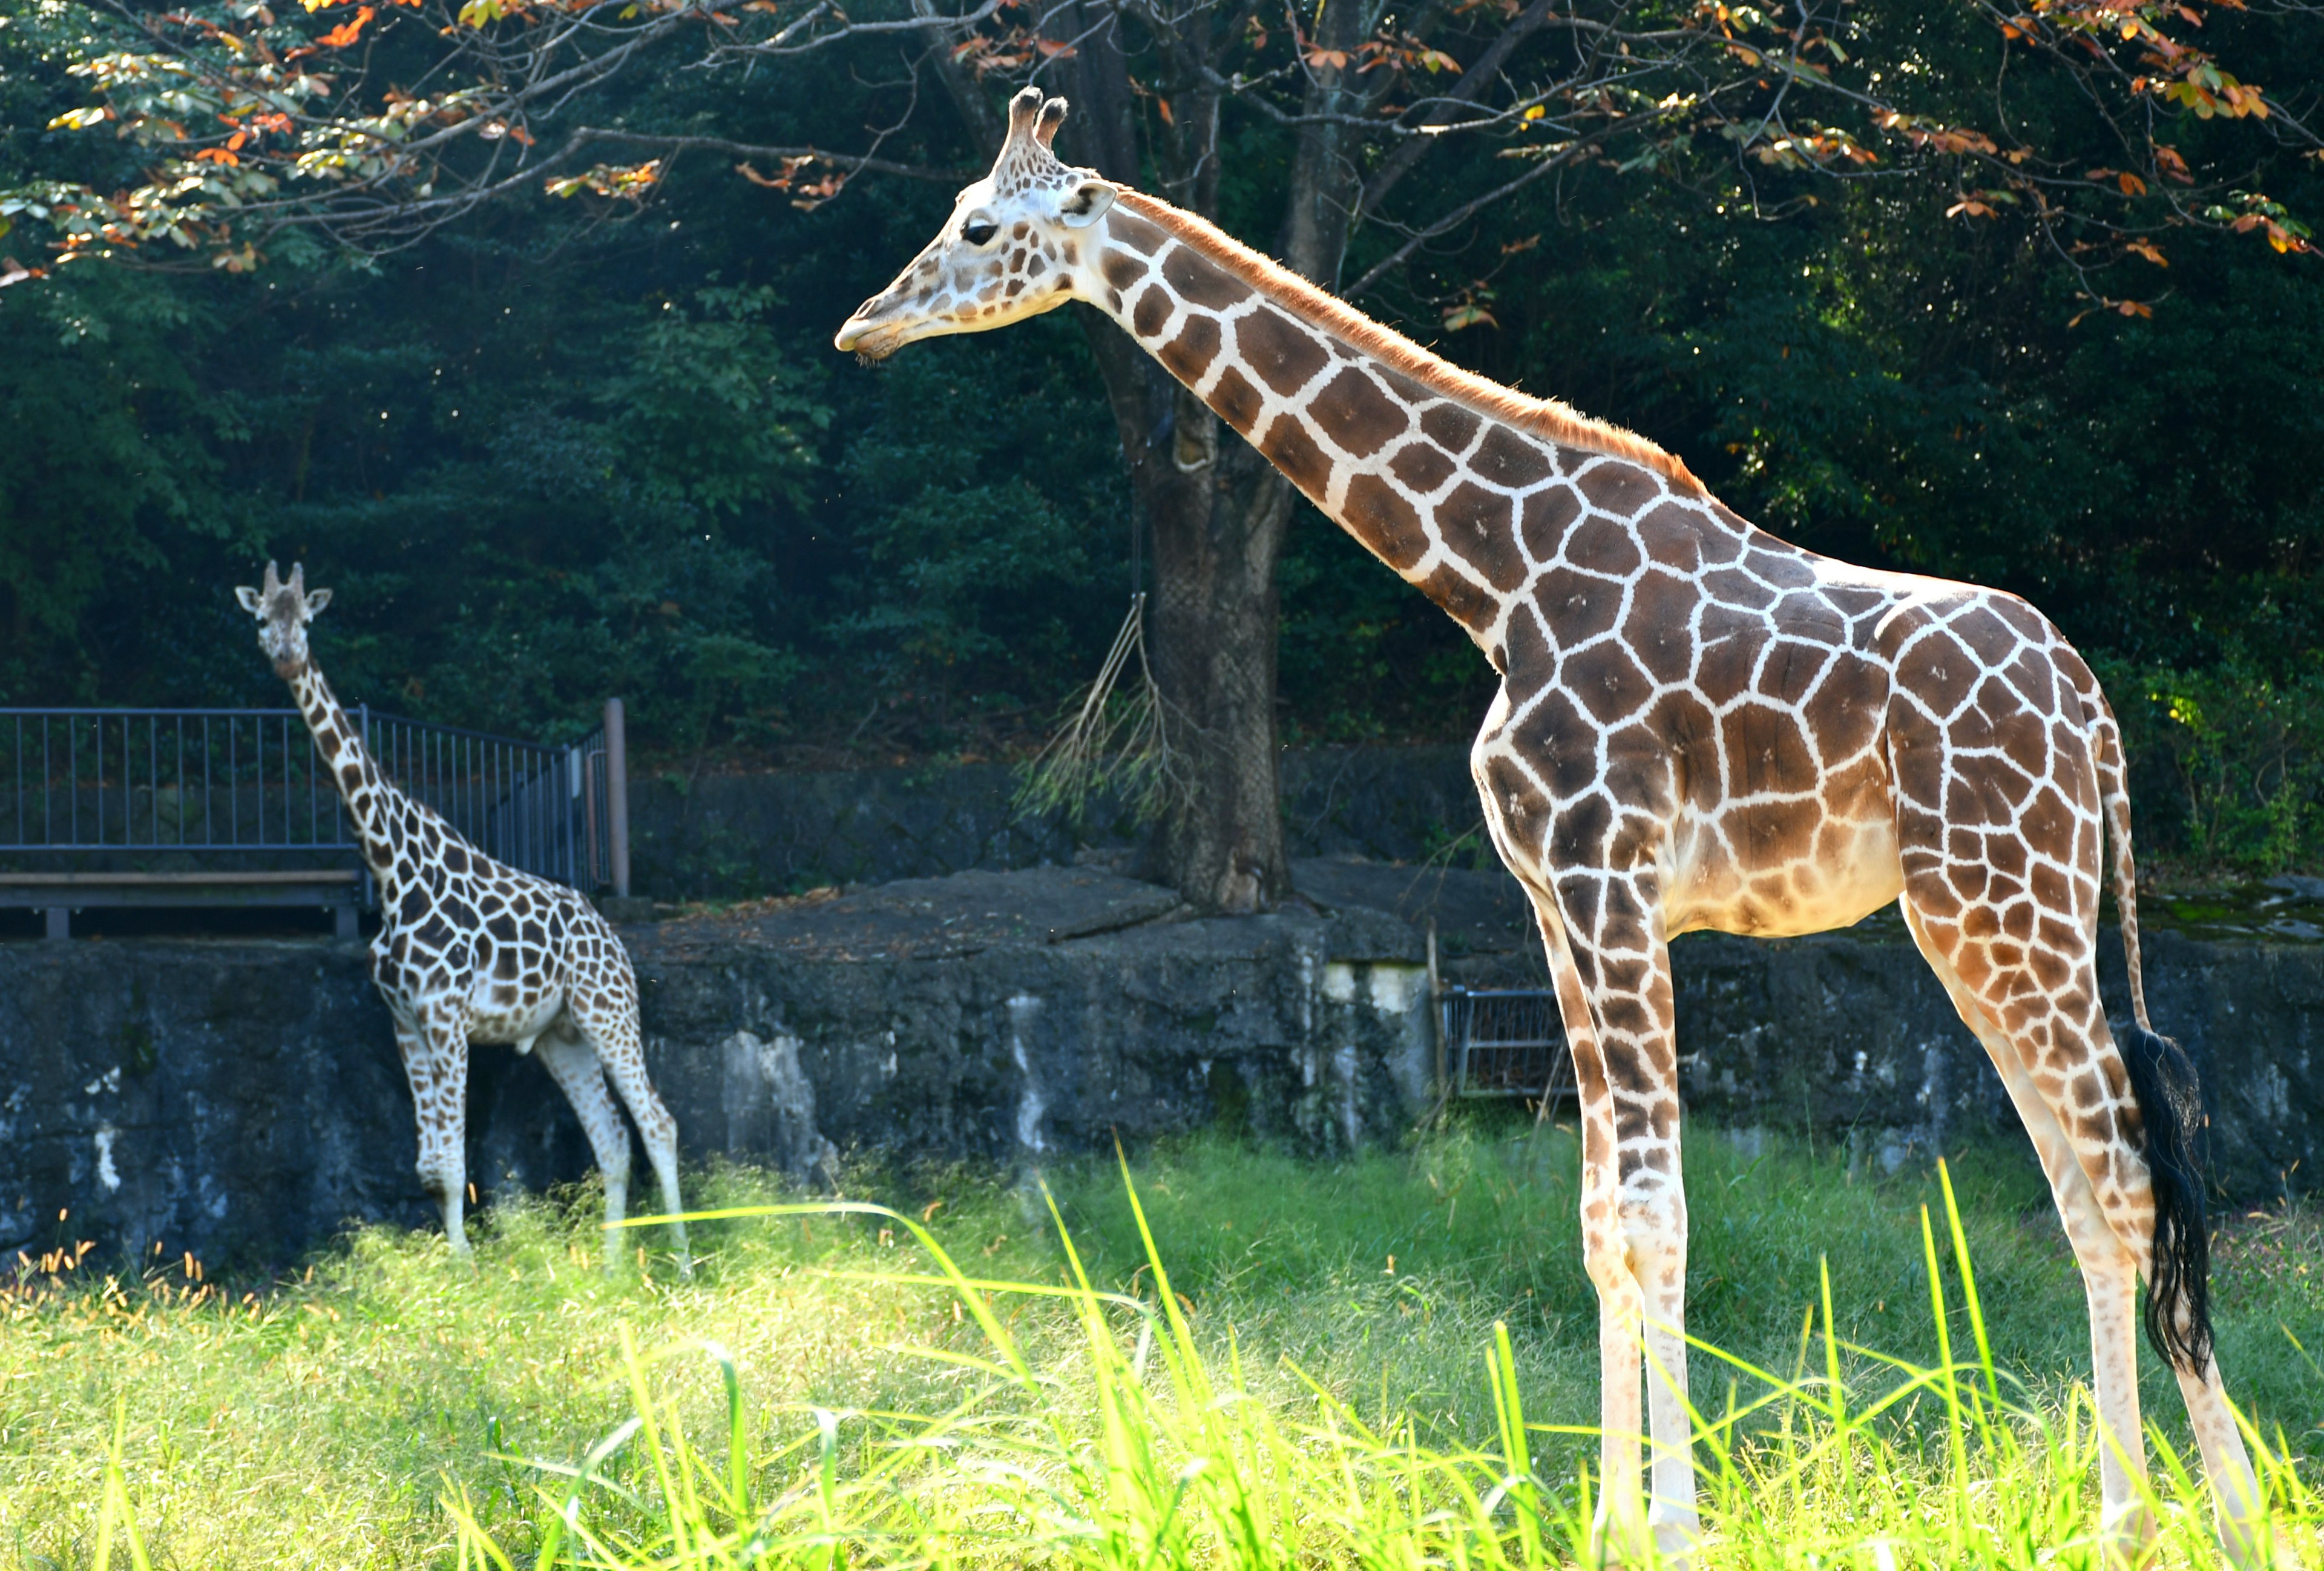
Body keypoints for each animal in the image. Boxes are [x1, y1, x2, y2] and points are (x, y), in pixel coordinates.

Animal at [246, 564, 697, 1273]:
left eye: (309, 620)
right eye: (263, 618)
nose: (289, 657)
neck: (392, 870)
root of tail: (614, 939)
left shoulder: (447, 1018)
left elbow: (454, 1164)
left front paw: (465, 1269)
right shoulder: (404, 1021)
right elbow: (430, 1167)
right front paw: (454, 1268)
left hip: (609, 1011)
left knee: (656, 1121)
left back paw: (679, 1261)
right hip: (562, 1036)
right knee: (612, 1136)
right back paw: (610, 1268)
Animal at [841, 91, 2286, 1561]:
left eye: (979, 227)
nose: (863, 325)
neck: (1499, 578)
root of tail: (2096, 711)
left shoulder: (1612, 878)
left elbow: (1657, 1213)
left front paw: (1680, 1530)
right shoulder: (1551, 902)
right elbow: (1598, 1219)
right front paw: (1609, 1524)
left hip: (2007, 899)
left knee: (2127, 1178)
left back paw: (2214, 1518)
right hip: (1983, 921)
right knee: (2084, 1189)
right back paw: (2131, 1514)